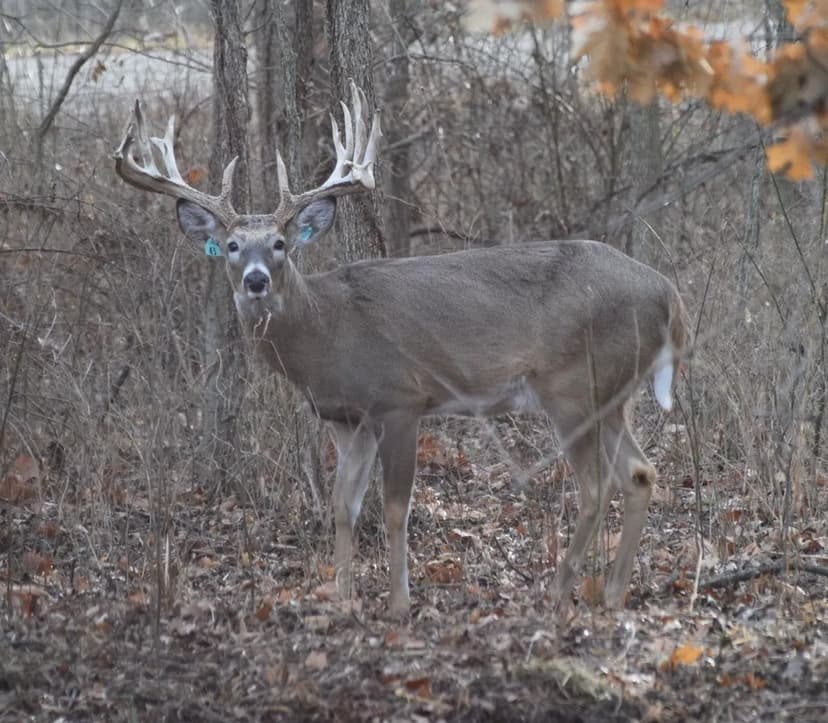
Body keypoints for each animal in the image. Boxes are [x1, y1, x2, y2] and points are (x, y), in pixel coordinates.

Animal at [114, 82, 689, 616]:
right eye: (232, 246)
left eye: (280, 244)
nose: (256, 280)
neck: (325, 331)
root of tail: (668, 292)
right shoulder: (347, 419)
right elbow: (342, 506)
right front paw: (342, 597)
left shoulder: (400, 400)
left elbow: (395, 509)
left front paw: (398, 602)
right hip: (611, 391)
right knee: (639, 473)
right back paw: (611, 594)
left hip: (571, 386)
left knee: (596, 486)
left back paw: (557, 592)